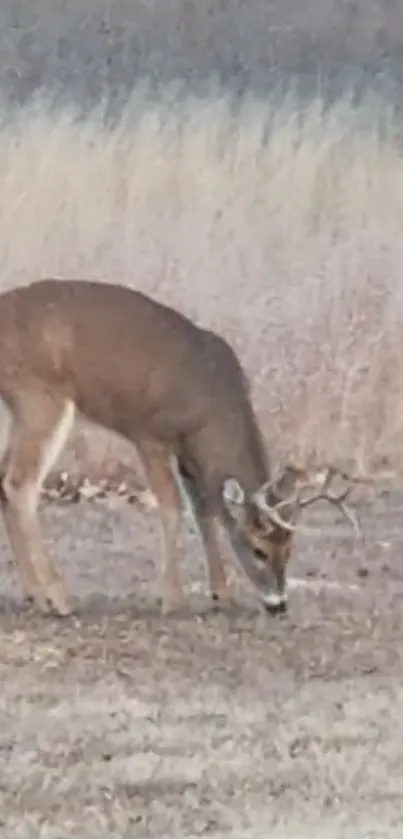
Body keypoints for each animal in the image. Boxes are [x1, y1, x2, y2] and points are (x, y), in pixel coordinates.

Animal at [0, 280, 358, 616]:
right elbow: (173, 507)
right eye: (259, 549)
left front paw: (222, 595)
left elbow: (205, 513)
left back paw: (33, 594)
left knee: (4, 478)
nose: (278, 604)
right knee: (20, 484)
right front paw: (174, 599)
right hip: (40, 397)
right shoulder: (150, 435)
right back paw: (59, 599)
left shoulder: (191, 456)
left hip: (23, 407)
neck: (212, 407)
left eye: (290, 547)